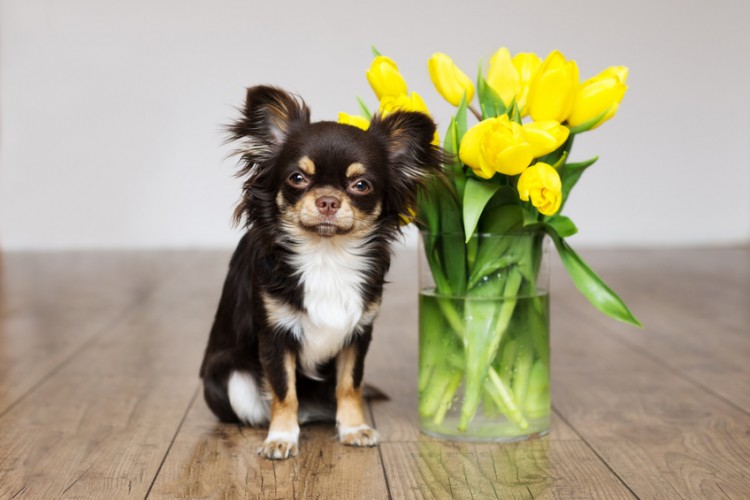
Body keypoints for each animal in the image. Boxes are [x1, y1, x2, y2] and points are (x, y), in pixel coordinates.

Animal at [203, 84, 444, 458]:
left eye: (361, 185)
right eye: (297, 178)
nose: (328, 200)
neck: (325, 256)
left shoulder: (358, 333)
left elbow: (349, 385)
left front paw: (354, 428)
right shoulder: (274, 336)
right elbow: (284, 391)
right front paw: (280, 438)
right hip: (231, 378)